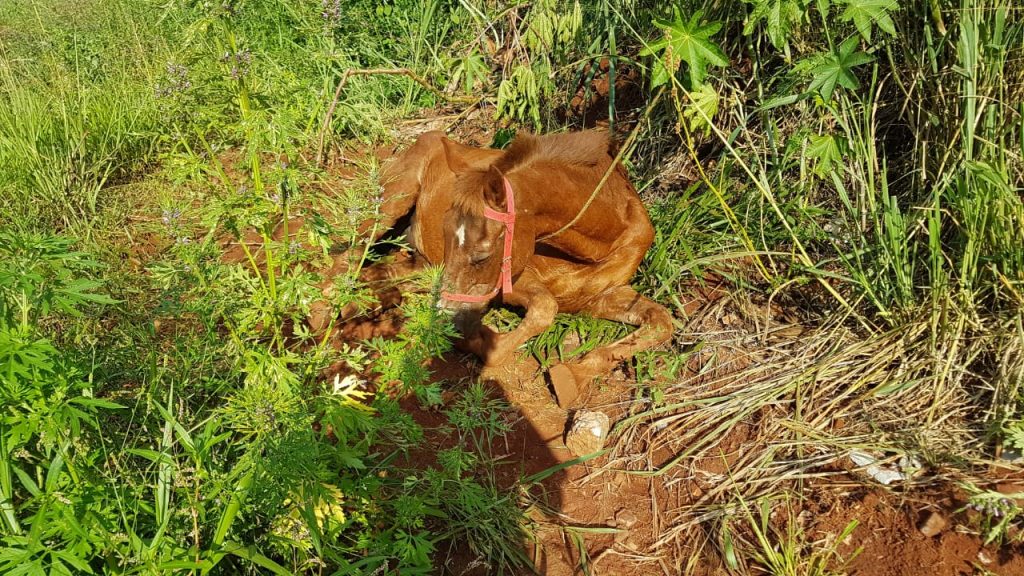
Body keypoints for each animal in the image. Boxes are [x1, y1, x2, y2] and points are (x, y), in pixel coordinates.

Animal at [313, 130, 673, 406]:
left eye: (482, 255)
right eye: (447, 235)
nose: (447, 320)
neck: (600, 245)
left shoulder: (603, 296)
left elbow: (662, 323)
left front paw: (573, 375)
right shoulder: (513, 284)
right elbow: (543, 310)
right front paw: (477, 339)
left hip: (417, 259)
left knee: (382, 275)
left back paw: (371, 309)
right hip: (390, 205)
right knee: (344, 262)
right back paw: (324, 316)